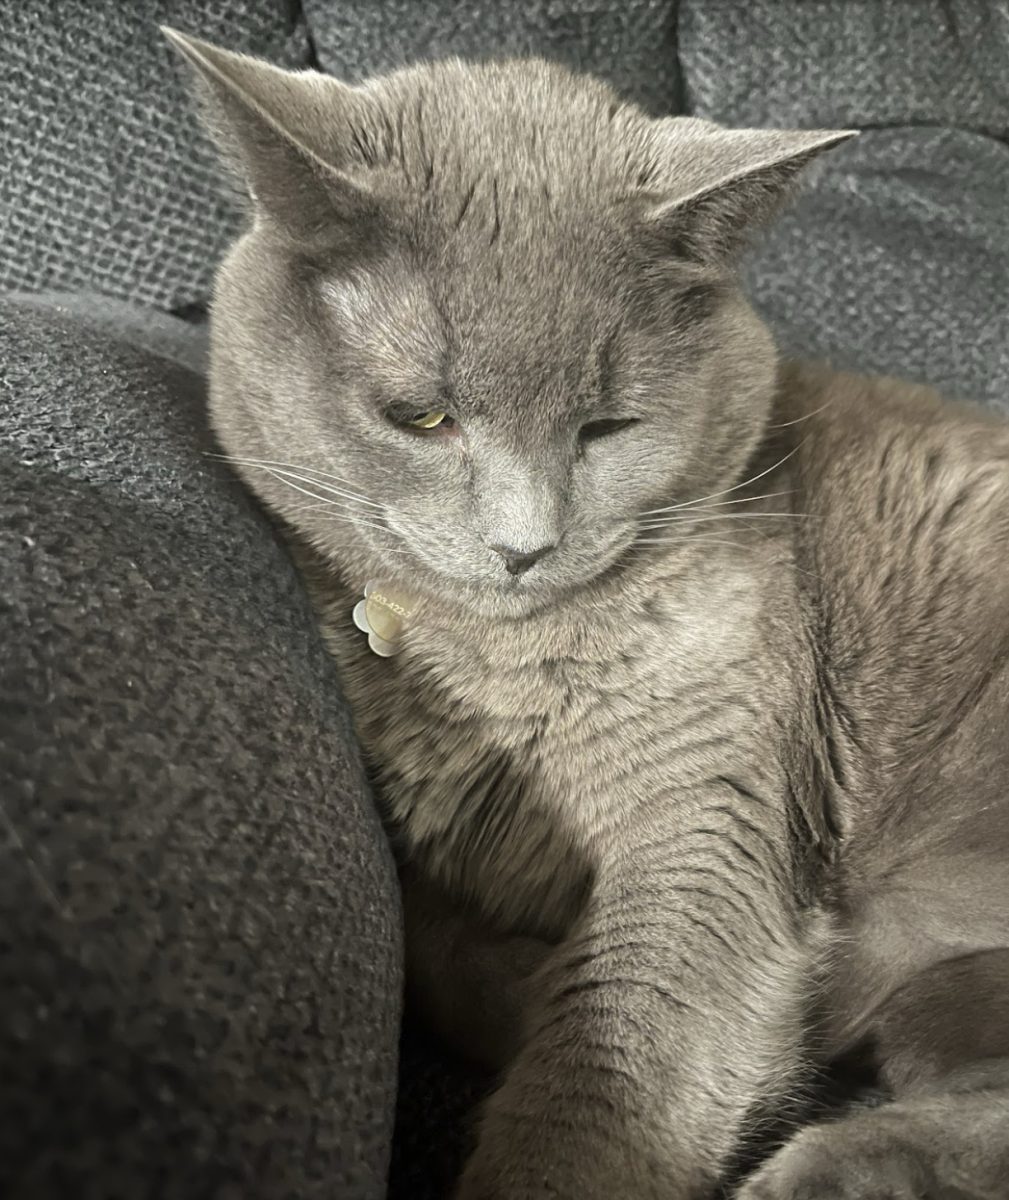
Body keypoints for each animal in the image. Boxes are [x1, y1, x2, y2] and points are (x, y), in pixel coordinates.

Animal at [165, 28, 1007, 1200]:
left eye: (608, 425)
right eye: (419, 416)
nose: (524, 545)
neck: (490, 670)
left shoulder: (706, 826)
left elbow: (601, 1076)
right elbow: (438, 946)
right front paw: (522, 983)